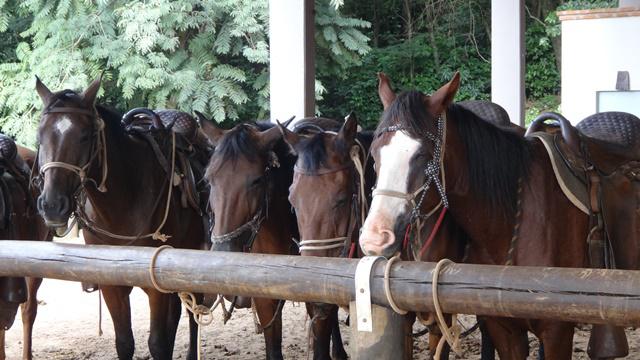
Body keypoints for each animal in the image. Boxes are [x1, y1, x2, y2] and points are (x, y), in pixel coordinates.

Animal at [32, 76, 205, 360]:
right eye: (40, 136)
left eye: (85, 136)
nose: (52, 205)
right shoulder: (111, 285)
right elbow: (124, 342)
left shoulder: (156, 283)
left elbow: (158, 343)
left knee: (194, 313)